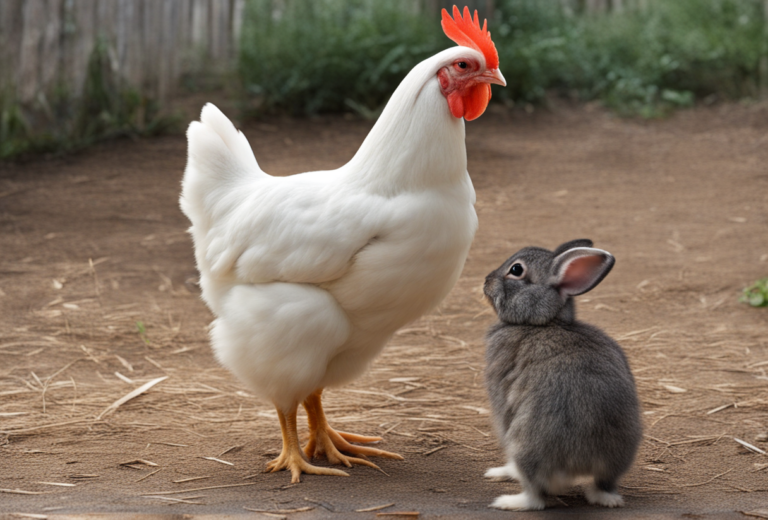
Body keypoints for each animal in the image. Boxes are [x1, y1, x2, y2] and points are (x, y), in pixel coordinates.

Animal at [482, 238, 642, 511]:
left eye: (516, 270)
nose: (486, 281)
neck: (543, 321)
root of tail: (584, 458)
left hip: (524, 447)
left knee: (536, 497)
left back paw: (507, 498)